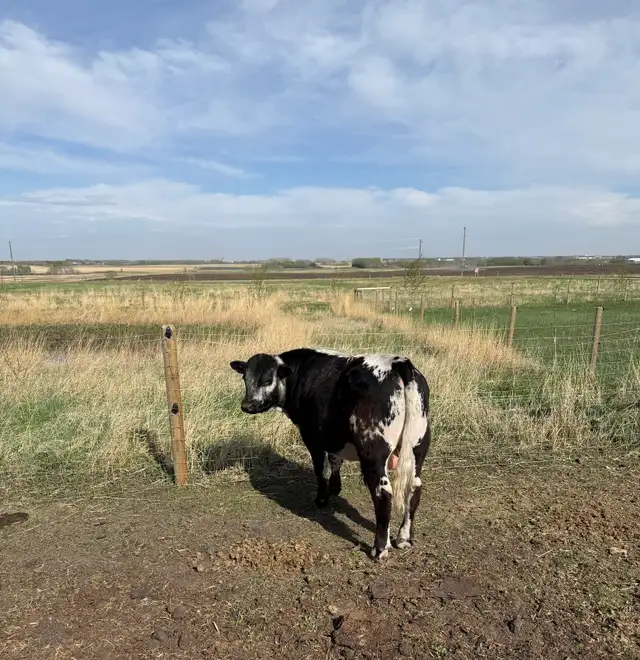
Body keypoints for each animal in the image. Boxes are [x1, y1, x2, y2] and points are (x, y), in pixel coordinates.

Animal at [230, 348, 431, 560]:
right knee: (414, 488)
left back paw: (380, 548)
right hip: (417, 447)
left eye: (268, 380)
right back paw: (404, 537)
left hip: (373, 453)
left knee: (383, 494)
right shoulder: (333, 436)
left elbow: (320, 468)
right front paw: (335, 488)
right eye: (245, 378)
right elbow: (335, 459)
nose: (247, 405)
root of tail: (397, 362)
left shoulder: (312, 437)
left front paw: (322, 498)